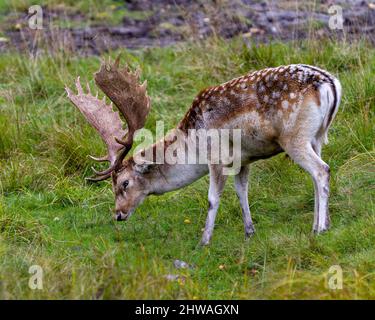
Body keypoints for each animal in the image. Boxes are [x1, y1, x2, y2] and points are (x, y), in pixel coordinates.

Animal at [66, 57, 342, 245]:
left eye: (124, 183)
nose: (118, 214)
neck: (191, 143)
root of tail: (330, 84)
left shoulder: (217, 157)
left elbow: (212, 198)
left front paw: (204, 240)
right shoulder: (244, 159)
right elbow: (242, 191)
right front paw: (249, 232)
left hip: (295, 138)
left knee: (322, 170)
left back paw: (320, 228)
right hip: (317, 137)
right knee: (318, 174)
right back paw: (321, 223)